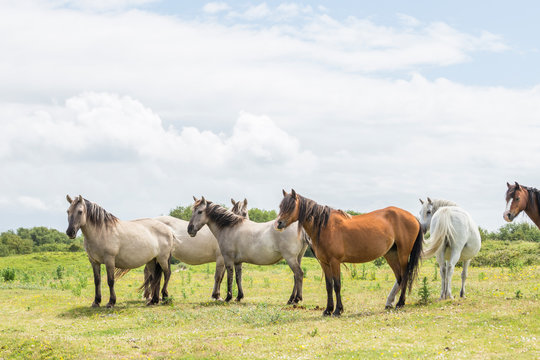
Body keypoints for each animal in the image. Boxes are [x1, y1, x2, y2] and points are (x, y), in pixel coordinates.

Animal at [276, 190, 424, 316]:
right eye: (280, 206)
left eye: (291, 206)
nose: (279, 223)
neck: (325, 226)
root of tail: (413, 217)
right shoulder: (325, 263)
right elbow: (329, 286)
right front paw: (328, 310)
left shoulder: (335, 262)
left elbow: (337, 285)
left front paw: (337, 310)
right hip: (391, 255)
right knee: (399, 277)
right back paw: (390, 304)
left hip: (403, 254)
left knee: (405, 276)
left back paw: (400, 303)